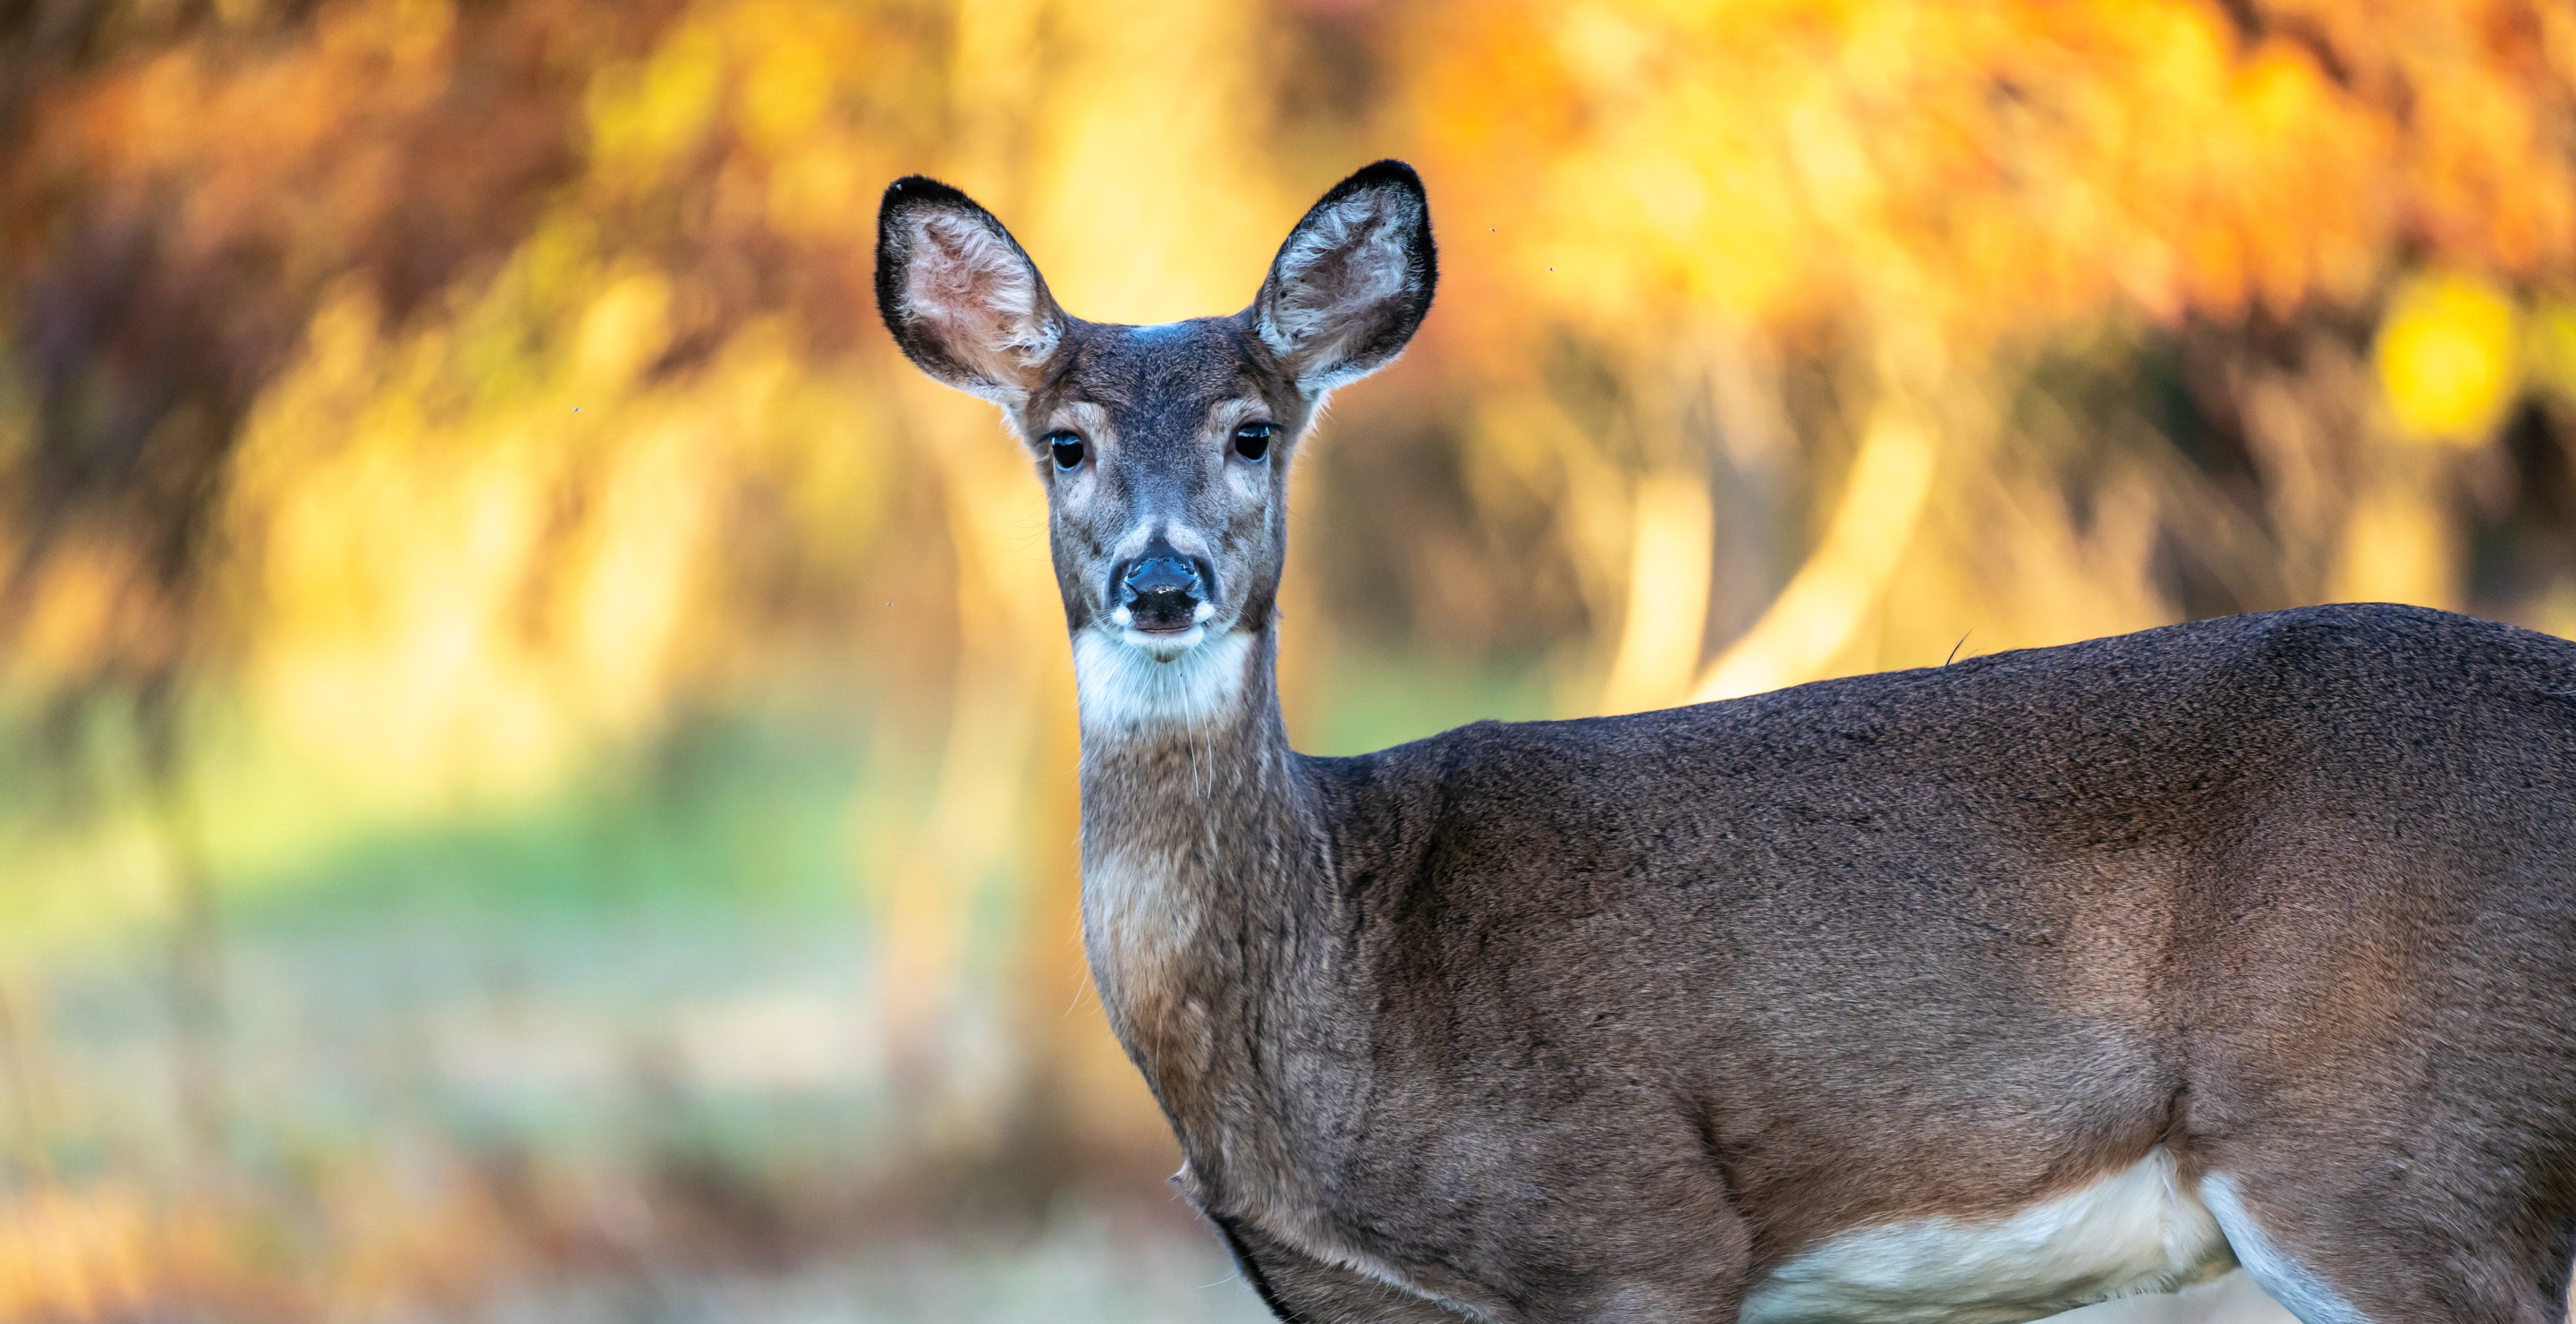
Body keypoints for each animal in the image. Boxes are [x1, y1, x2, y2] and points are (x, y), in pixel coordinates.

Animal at [876, 162, 2576, 1319]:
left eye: (1253, 432)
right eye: (1066, 443)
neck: (1337, 975)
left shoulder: (1637, 1220)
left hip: (2389, 1153)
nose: (1162, 581)